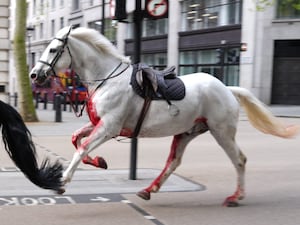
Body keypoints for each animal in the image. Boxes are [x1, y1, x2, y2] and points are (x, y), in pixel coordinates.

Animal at [29, 25, 298, 206]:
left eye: (53, 49)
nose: (33, 75)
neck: (107, 79)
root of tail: (227, 88)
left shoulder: (109, 127)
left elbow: (82, 147)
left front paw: (62, 181)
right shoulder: (100, 124)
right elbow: (76, 139)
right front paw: (99, 162)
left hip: (221, 132)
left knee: (239, 160)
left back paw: (236, 196)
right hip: (187, 132)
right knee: (173, 162)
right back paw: (149, 189)